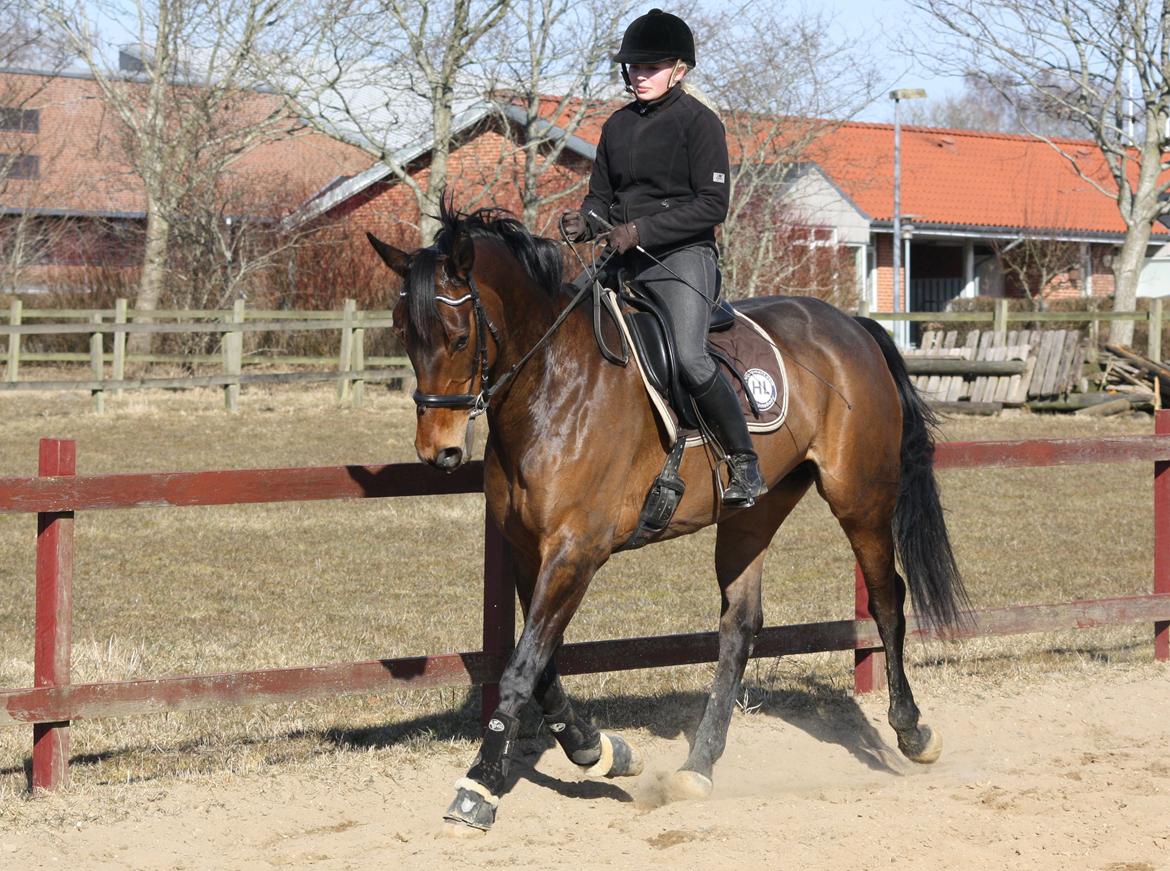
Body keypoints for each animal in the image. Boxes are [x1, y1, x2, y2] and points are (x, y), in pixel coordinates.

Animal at [367, 200, 968, 833]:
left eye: (458, 336)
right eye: (404, 333)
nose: (437, 452)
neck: (554, 386)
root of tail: (851, 325)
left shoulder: (576, 550)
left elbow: (521, 667)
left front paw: (479, 785)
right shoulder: (531, 553)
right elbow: (542, 666)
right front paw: (600, 750)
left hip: (861, 498)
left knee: (886, 599)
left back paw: (912, 733)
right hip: (754, 513)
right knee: (739, 626)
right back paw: (698, 767)